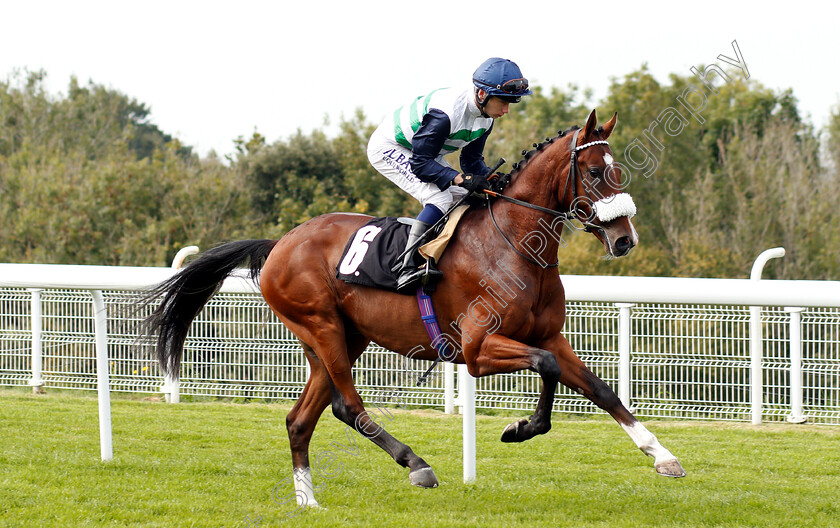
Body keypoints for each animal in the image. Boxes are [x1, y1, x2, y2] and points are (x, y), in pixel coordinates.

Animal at [141, 109, 684, 510]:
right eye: (593, 173)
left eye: (619, 171)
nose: (625, 239)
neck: (514, 247)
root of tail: (280, 244)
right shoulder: (477, 350)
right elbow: (547, 368)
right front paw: (521, 428)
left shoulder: (548, 336)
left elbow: (599, 389)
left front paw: (662, 455)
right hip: (320, 326)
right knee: (348, 406)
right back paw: (415, 464)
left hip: (343, 336)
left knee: (301, 418)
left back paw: (307, 500)